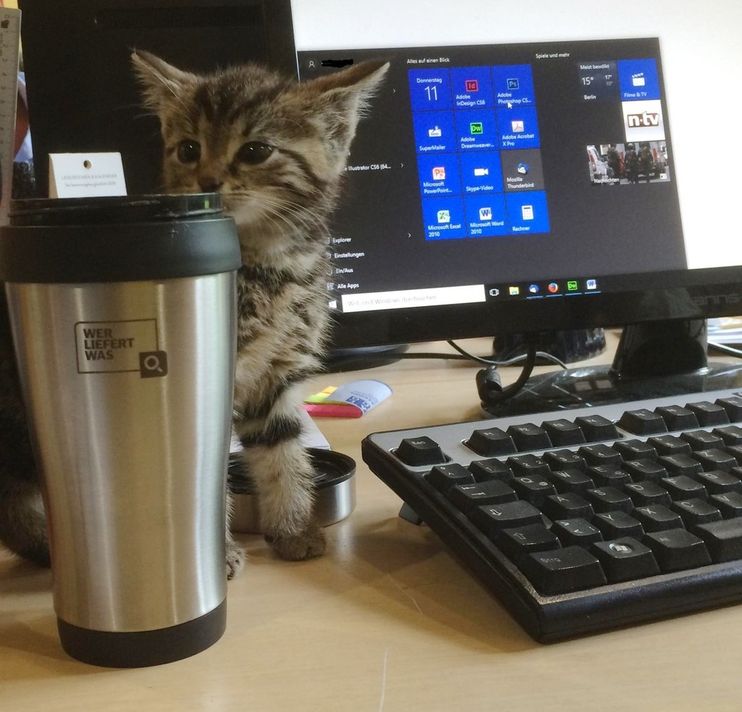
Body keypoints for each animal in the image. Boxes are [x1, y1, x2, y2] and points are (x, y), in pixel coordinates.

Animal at [132, 51, 392, 580]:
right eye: (188, 149)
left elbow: (281, 446)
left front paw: (292, 527)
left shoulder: (276, 372)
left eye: (256, 151)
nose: (207, 181)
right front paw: (219, 555)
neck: (270, 267)